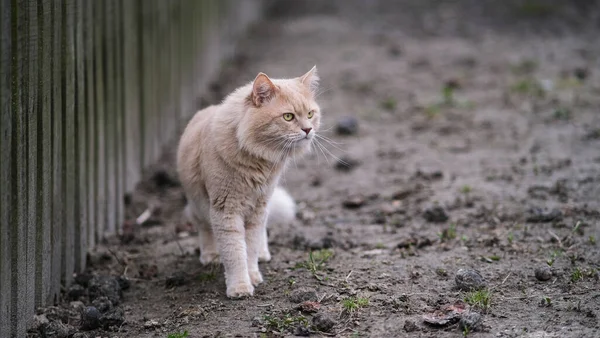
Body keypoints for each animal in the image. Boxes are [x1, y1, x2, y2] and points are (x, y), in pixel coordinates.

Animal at [176, 66, 322, 298]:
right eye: (288, 117)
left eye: (310, 114)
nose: (308, 130)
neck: (257, 158)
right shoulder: (226, 210)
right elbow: (235, 252)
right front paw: (240, 287)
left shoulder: (258, 207)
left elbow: (250, 247)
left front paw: (253, 275)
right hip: (199, 206)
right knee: (203, 228)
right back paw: (210, 255)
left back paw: (263, 253)